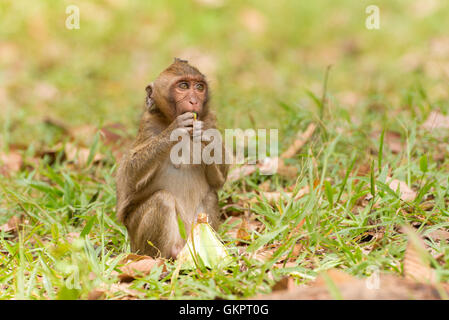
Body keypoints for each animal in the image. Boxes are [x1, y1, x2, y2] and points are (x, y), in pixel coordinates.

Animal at [115, 58, 228, 260]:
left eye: (199, 87)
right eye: (183, 86)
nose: (194, 100)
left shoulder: (211, 120)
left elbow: (218, 180)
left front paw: (204, 134)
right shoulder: (148, 125)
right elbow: (128, 175)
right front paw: (174, 130)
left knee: (210, 196)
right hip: (139, 243)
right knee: (162, 200)